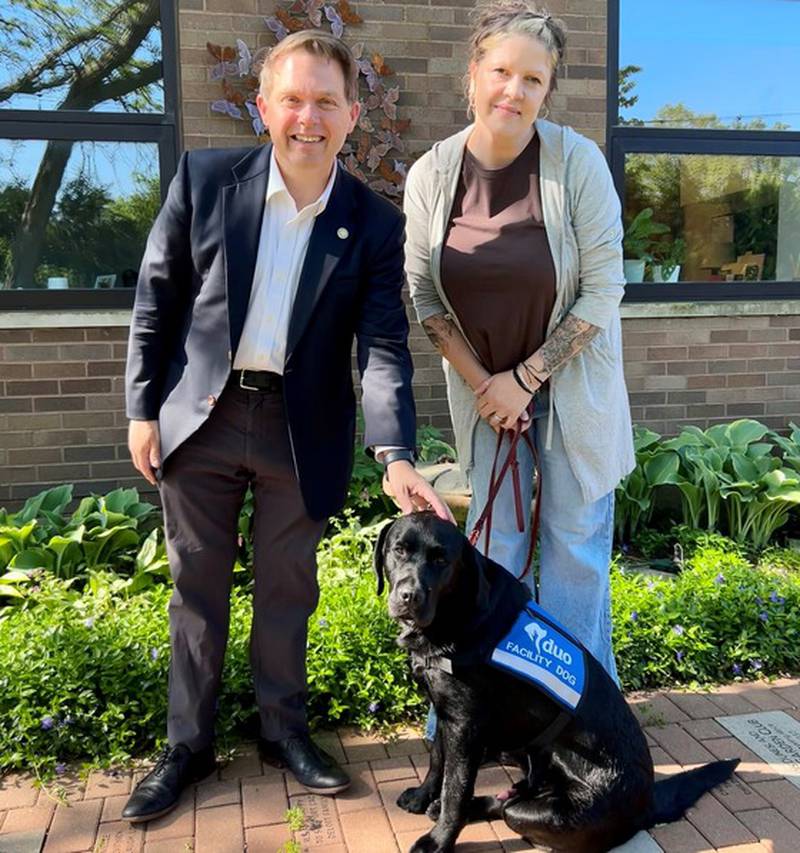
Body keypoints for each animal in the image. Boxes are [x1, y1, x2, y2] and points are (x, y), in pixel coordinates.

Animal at [376, 510, 736, 848]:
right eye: (399, 550)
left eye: (441, 560)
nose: (409, 596)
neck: (455, 616)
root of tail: (647, 802)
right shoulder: (446, 711)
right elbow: (438, 761)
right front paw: (422, 796)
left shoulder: (463, 724)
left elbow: (456, 789)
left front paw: (438, 840)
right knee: (509, 794)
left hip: (548, 810)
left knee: (509, 806)